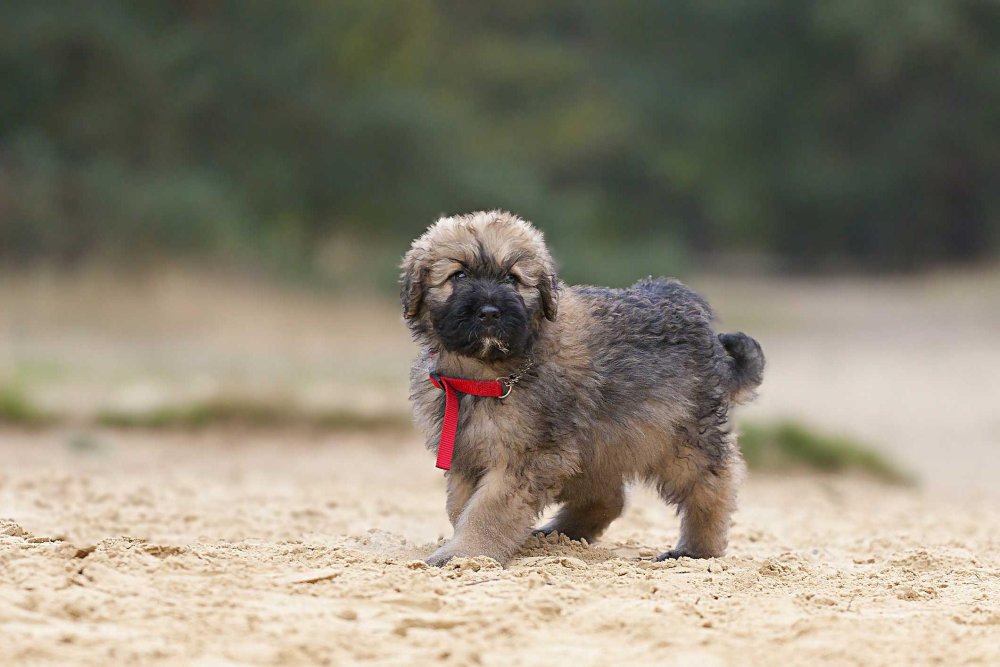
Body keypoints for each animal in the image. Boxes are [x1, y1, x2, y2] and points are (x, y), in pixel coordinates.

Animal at [402, 211, 760, 568]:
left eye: (512, 279)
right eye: (458, 275)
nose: (490, 312)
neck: (486, 374)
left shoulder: (525, 457)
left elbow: (488, 510)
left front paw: (464, 553)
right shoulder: (466, 454)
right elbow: (460, 505)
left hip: (679, 437)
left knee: (711, 487)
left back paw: (696, 549)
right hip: (598, 442)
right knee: (609, 498)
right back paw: (559, 534)